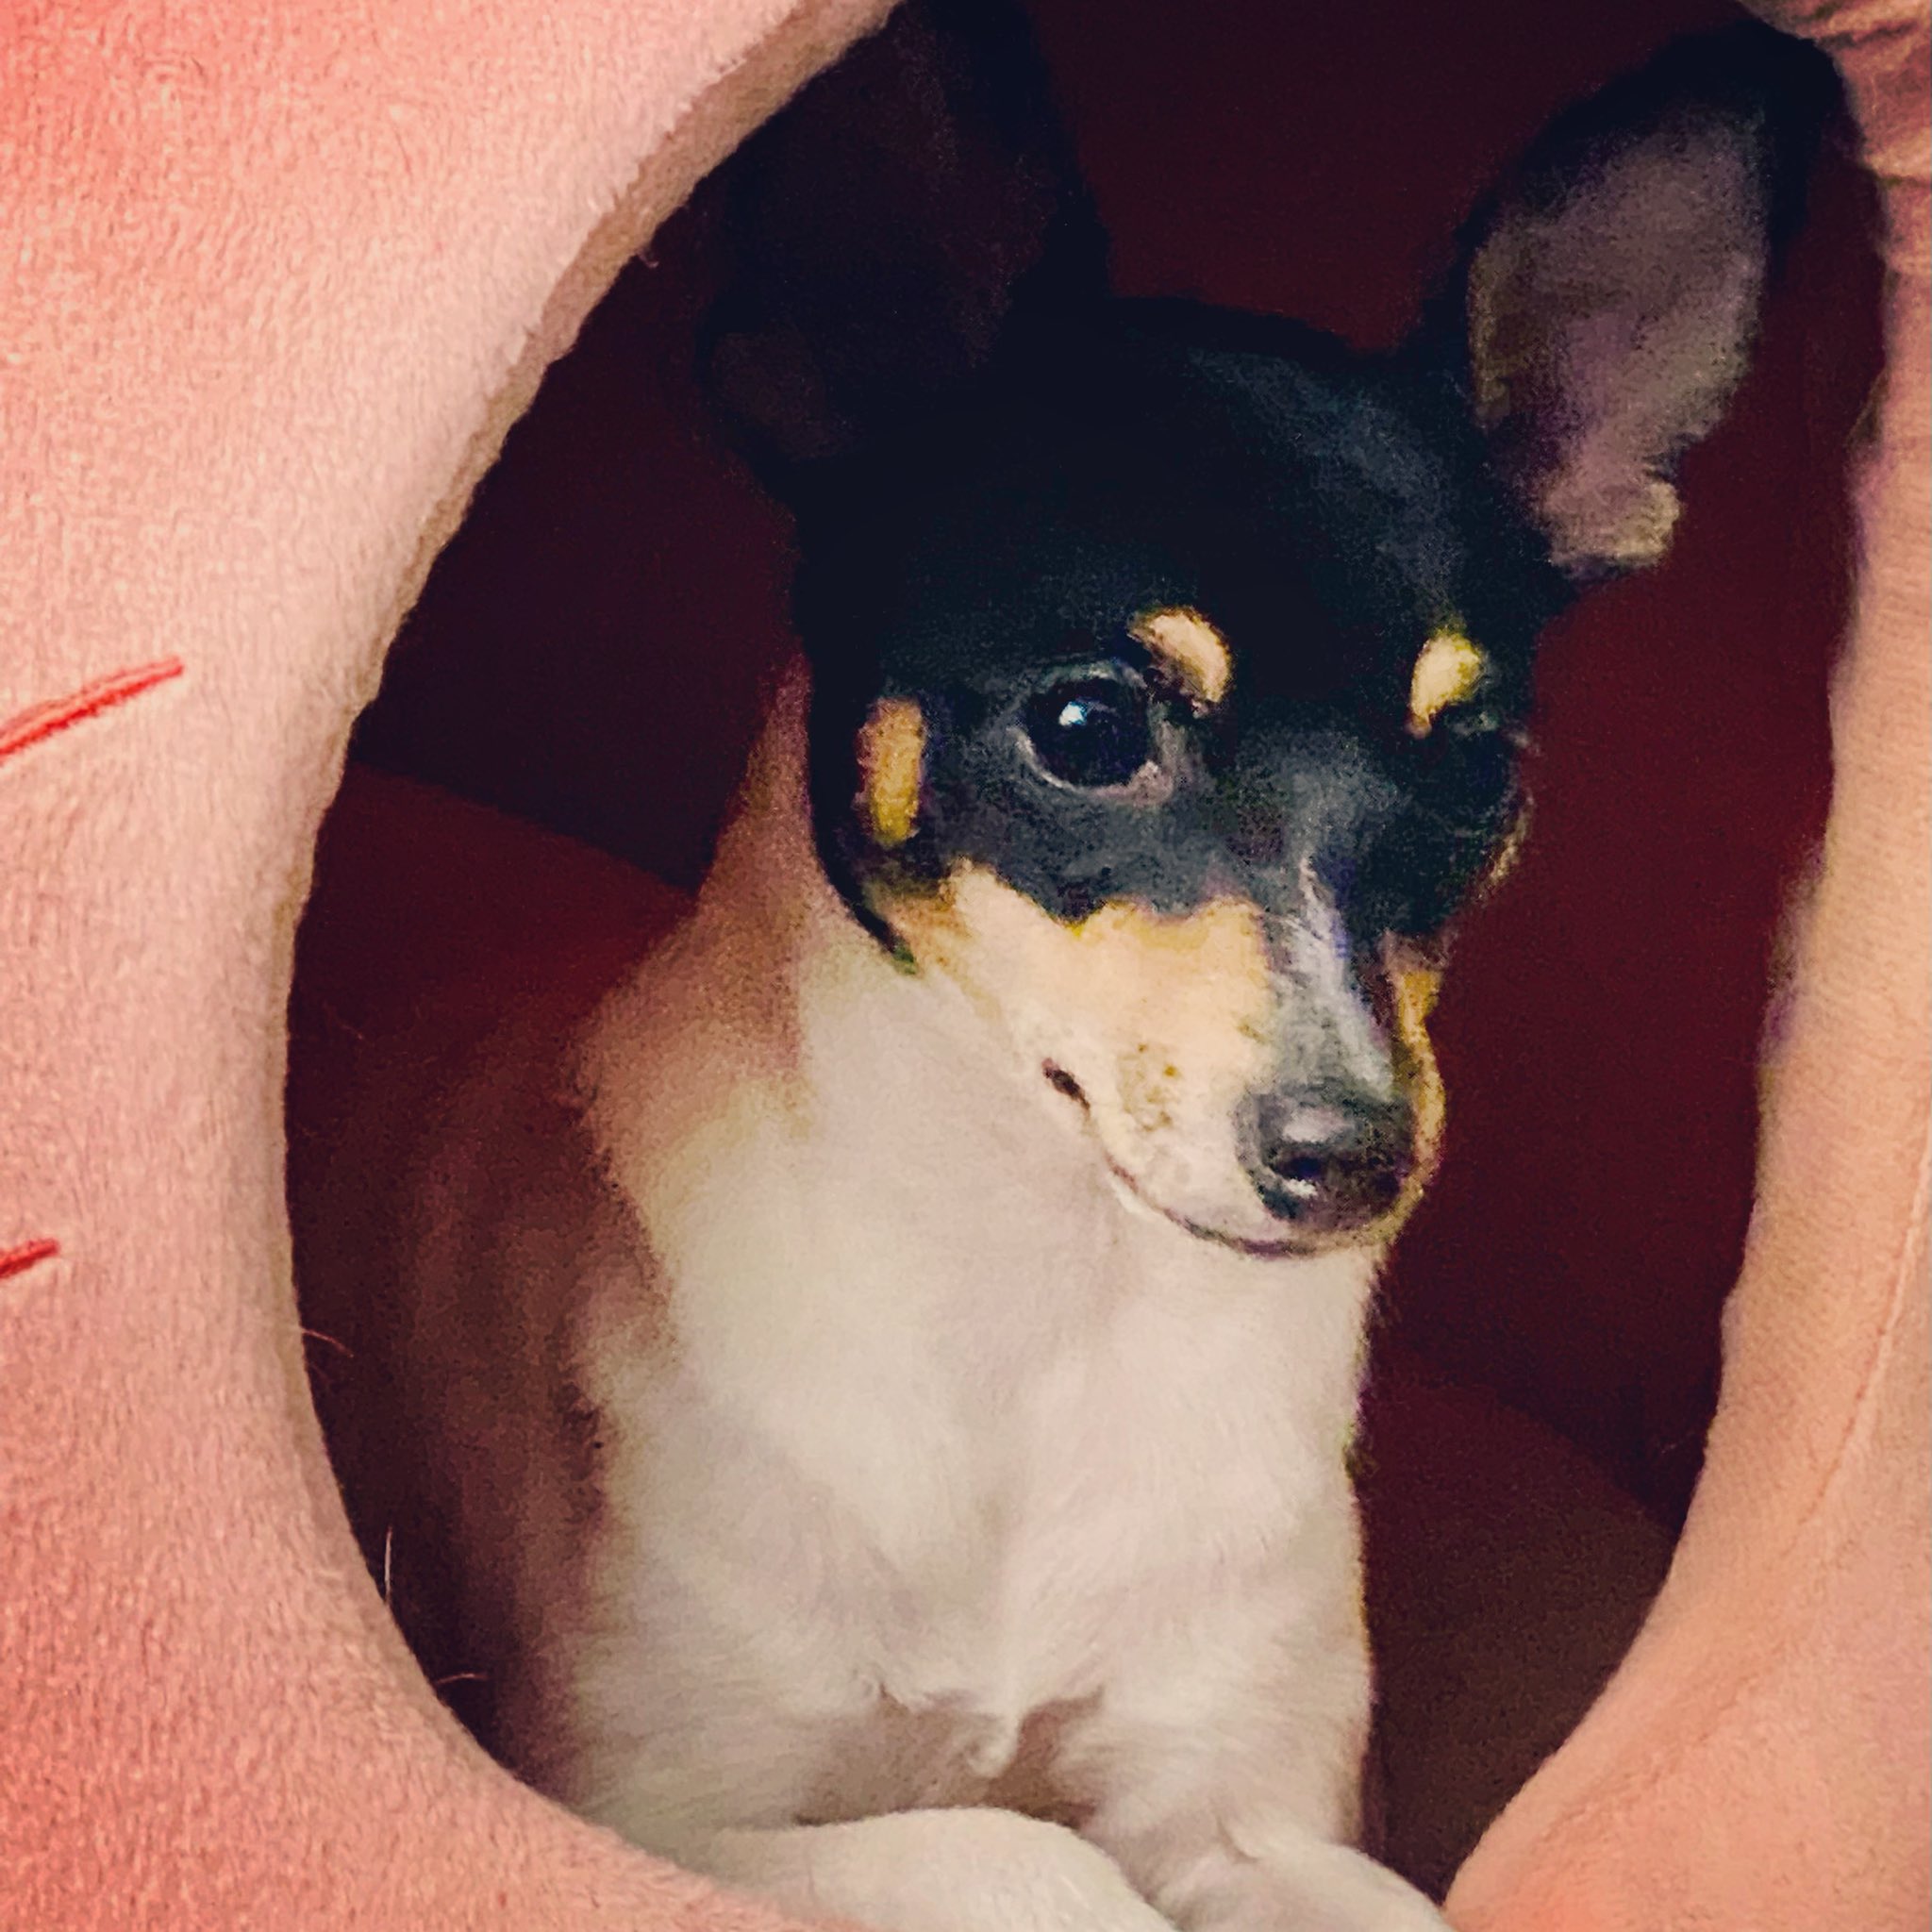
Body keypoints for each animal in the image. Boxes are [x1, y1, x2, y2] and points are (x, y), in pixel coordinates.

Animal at [292, 12, 1830, 1930]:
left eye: (1478, 769)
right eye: (1087, 730)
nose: (1351, 1155)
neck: (1045, 1302)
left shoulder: (1256, 1813)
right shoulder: (628, 1810)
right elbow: (1020, 1852)